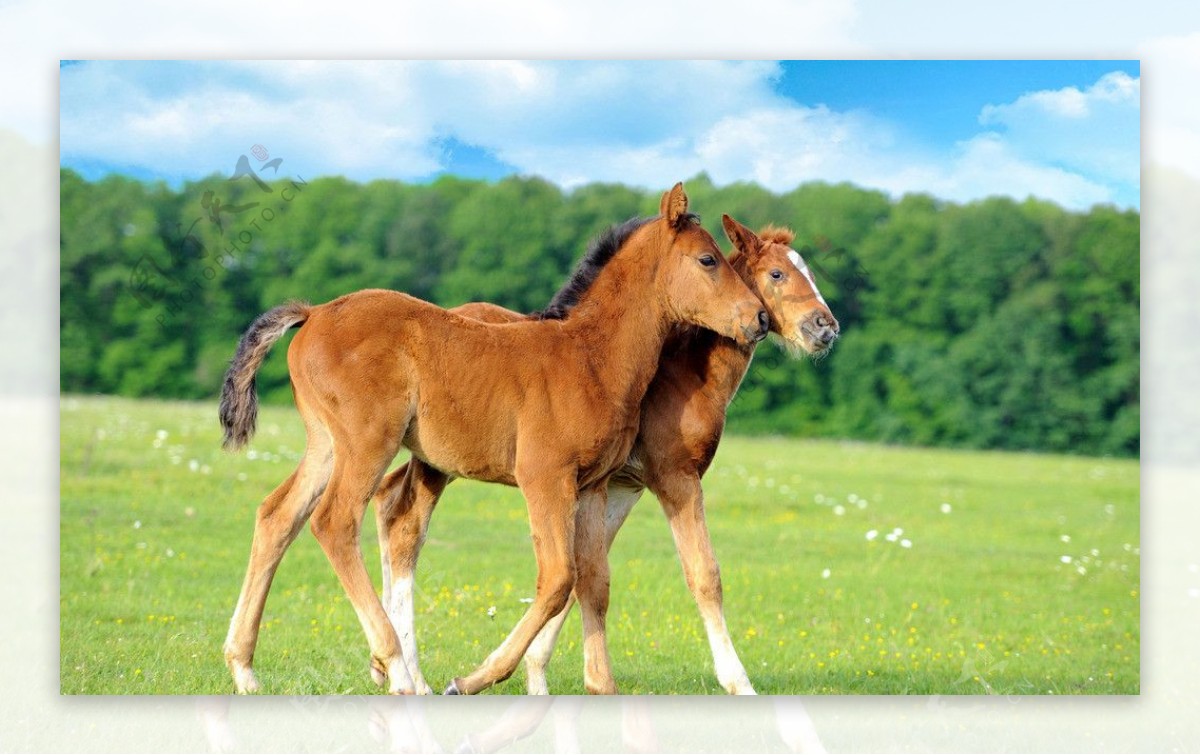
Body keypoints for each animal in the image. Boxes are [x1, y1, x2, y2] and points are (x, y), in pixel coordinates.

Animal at [219, 183, 763, 696]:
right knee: (333, 522)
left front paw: (600, 685)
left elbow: (593, 580)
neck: (591, 357)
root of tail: (313, 312)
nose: (757, 317)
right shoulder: (544, 476)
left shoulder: (591, 485)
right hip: (367, 442)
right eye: (708, 259)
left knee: (278, 517)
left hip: (326, 444)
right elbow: (559, 578)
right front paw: (473, 679)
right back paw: (396, 669)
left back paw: (244, 668)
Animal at [372, 214, 835, 691]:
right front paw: (738, 681)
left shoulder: (620, 487)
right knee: (406, 523)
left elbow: (585, 574)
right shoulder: (674, 477)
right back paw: (410, 674)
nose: (825, 326)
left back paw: (388, 667)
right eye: (777, 274)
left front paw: (537, 673)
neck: (682, 376)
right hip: (439, 461)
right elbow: (703, 574)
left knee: (389, 503)